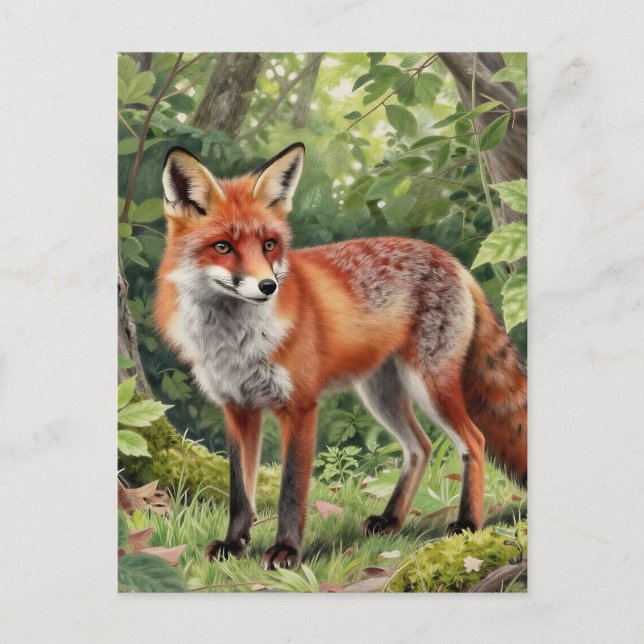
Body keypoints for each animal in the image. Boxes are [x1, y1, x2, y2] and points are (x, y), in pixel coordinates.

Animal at [154, 142, 527, 570]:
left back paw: (468, 524)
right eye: (222, 247)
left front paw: (286, 550)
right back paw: (391, 519)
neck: (235, 342)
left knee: (474, 441)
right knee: (421, 447)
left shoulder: (299, 406)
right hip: (381, 395)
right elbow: (239, 490)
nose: (268, 286)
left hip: (430, 387)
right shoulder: (238, 408)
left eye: (269, 244)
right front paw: (234, 544)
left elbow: (291, 489)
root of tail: (455, 262)